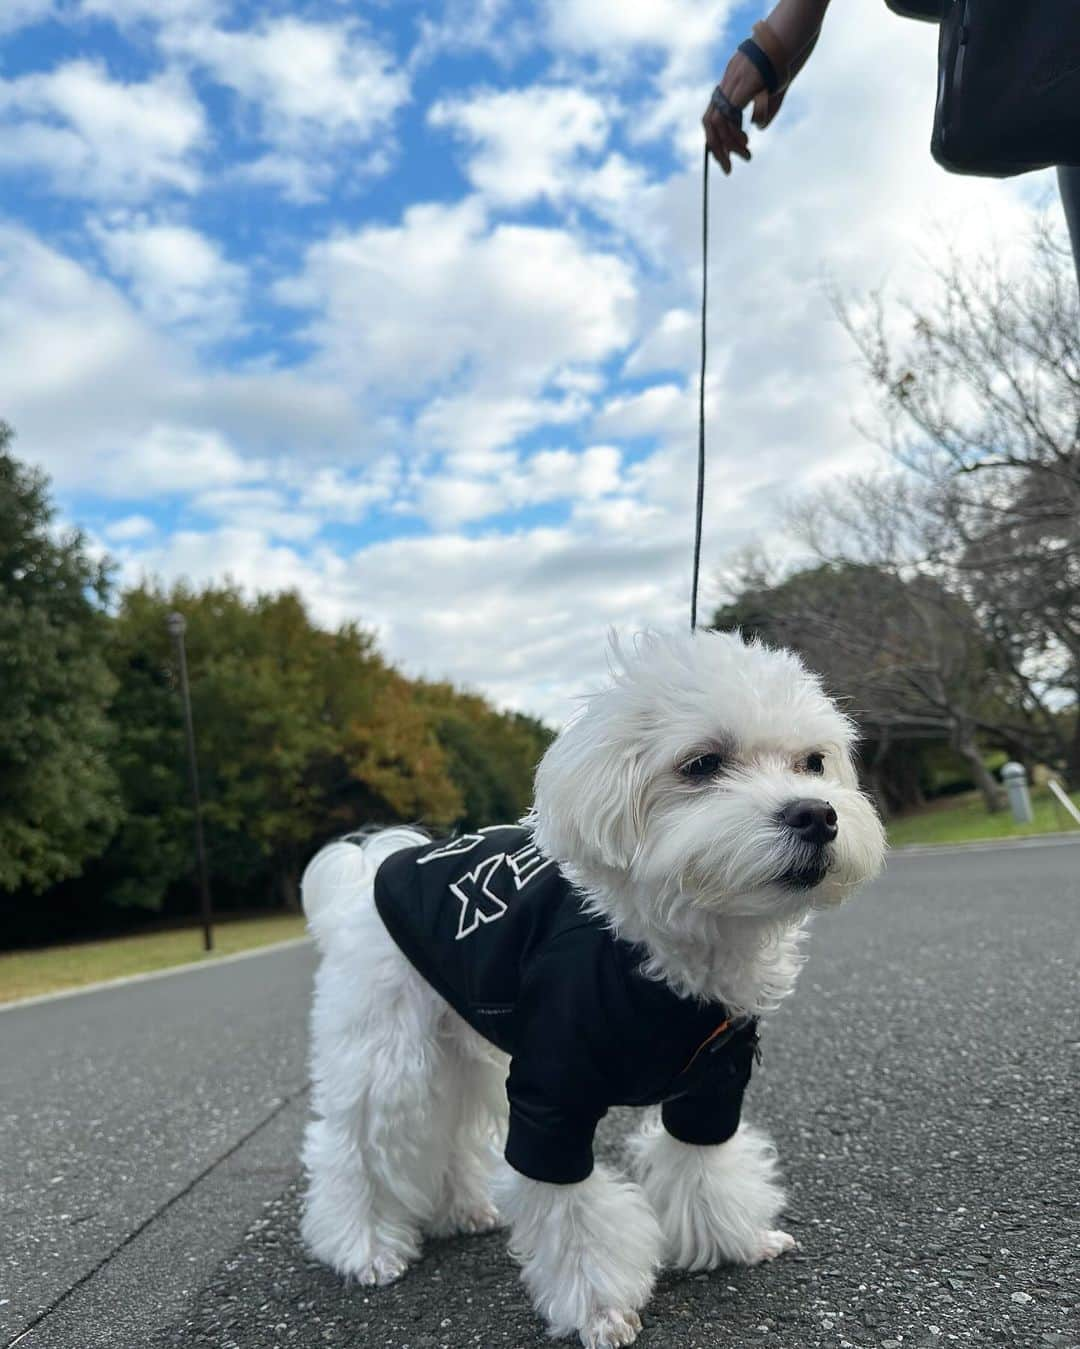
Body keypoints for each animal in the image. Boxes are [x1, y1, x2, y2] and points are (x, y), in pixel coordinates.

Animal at [296, 631, 884, 1349]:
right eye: (703, 763)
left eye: (814, 762)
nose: (815, 813)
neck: (655, 954)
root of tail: (373, 866)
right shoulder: (551, 1097)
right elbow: (572, 1215)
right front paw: (598, 1309)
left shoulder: (713, 1084)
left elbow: (706, 1165)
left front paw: (731, 1240)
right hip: (389, 1050)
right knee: (356, 1145)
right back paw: (365, 1245)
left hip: (459, 1043)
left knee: (452, 1126)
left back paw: (464, 1207)